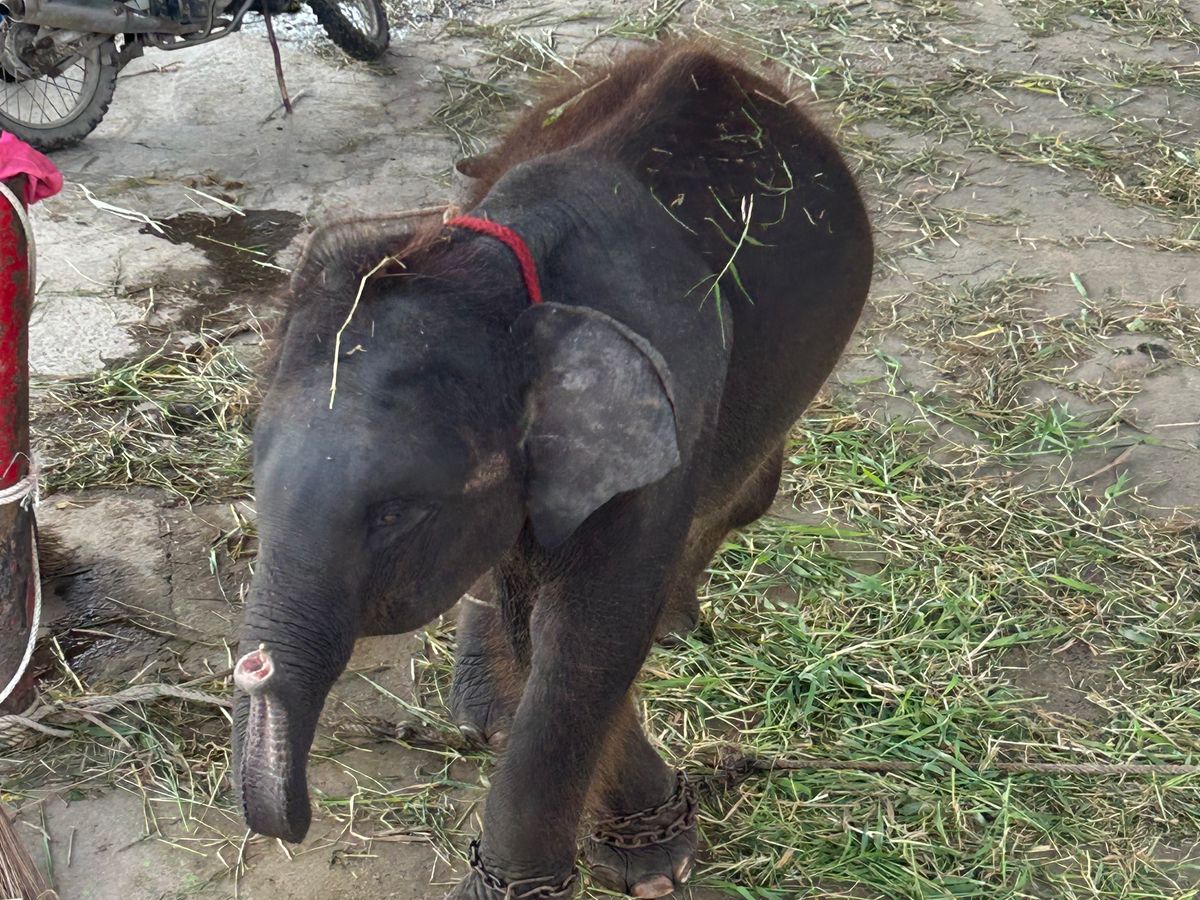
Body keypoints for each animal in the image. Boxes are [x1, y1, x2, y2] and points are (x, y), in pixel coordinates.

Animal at [232, 41, 872, 899]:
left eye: (394, 514)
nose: (256, 667)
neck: (499, 270)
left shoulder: (666, 411)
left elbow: (587, 634)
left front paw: (649, 864)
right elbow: (541, 620)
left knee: (744, 497)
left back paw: (671, 626)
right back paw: (489, 712)